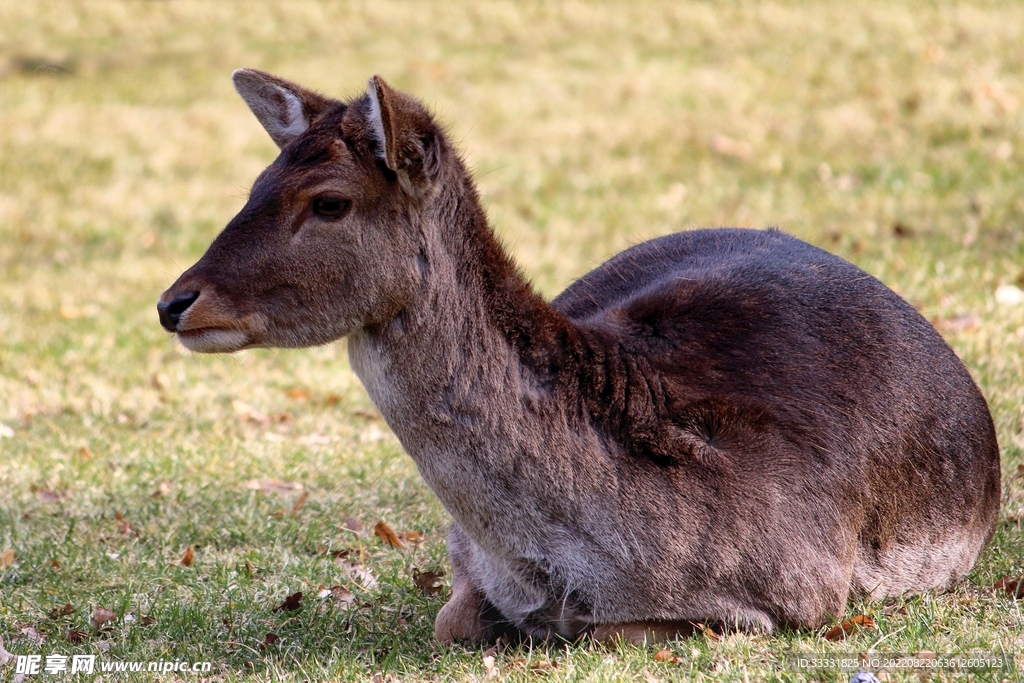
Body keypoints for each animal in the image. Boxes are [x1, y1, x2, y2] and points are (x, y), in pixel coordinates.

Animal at [158, 69, 1002, 644]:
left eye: (329, 200)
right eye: (258, 180)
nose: (175, 301)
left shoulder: (800, 591)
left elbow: (605, 628)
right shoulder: (461, 556)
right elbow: (450, 620)